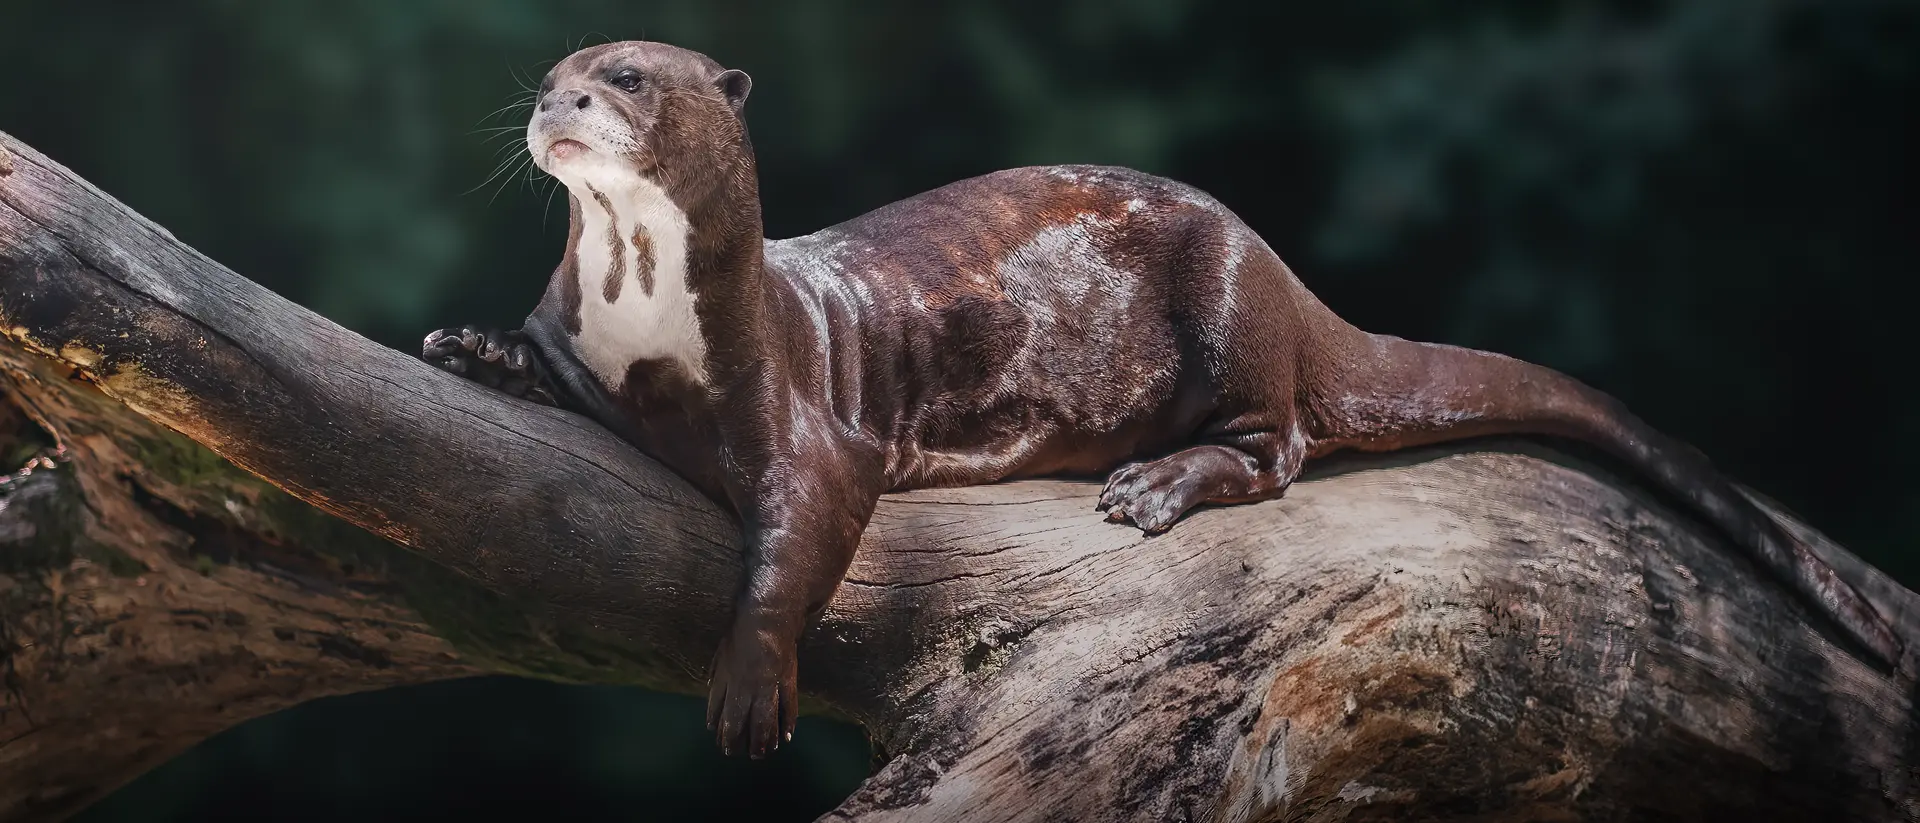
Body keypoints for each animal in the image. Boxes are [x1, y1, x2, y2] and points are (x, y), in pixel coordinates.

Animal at [422, 41, 1902, 758]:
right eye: (554, 73)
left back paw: (1151, 485)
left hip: (1232, 309)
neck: (645, 320)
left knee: (1282, 443)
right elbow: (533, 360)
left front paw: (749, 684)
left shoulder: (798, 410)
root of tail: (1289, 273)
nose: (554, 102)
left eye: (624, 76)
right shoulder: (579, 342)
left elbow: (795, 537)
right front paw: (464, 345)